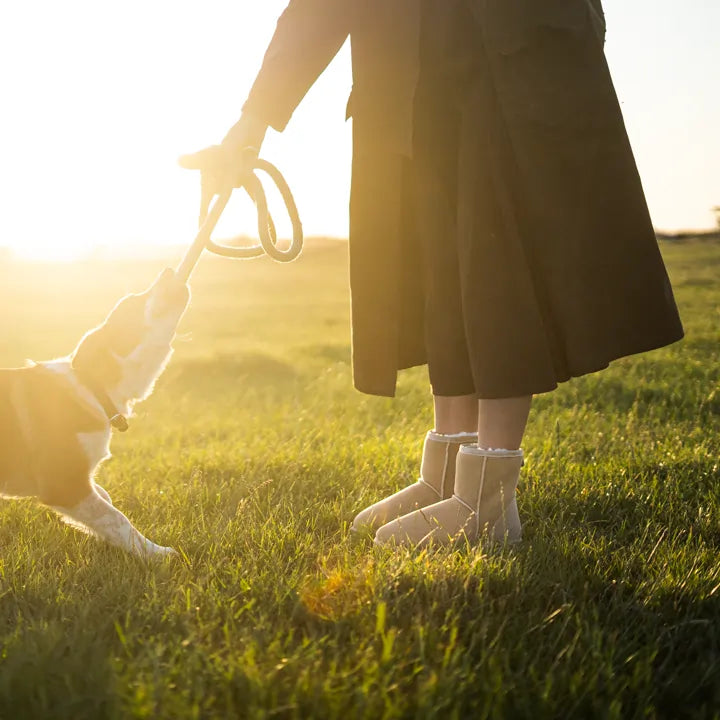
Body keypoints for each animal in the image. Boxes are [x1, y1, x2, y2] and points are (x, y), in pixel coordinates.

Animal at [0, 268, 190, 556]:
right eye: (132, 304)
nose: (168, 270)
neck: (93, 387)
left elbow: (105, 502)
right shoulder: (64, 484)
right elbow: (116, 517)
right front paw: (156, 554)